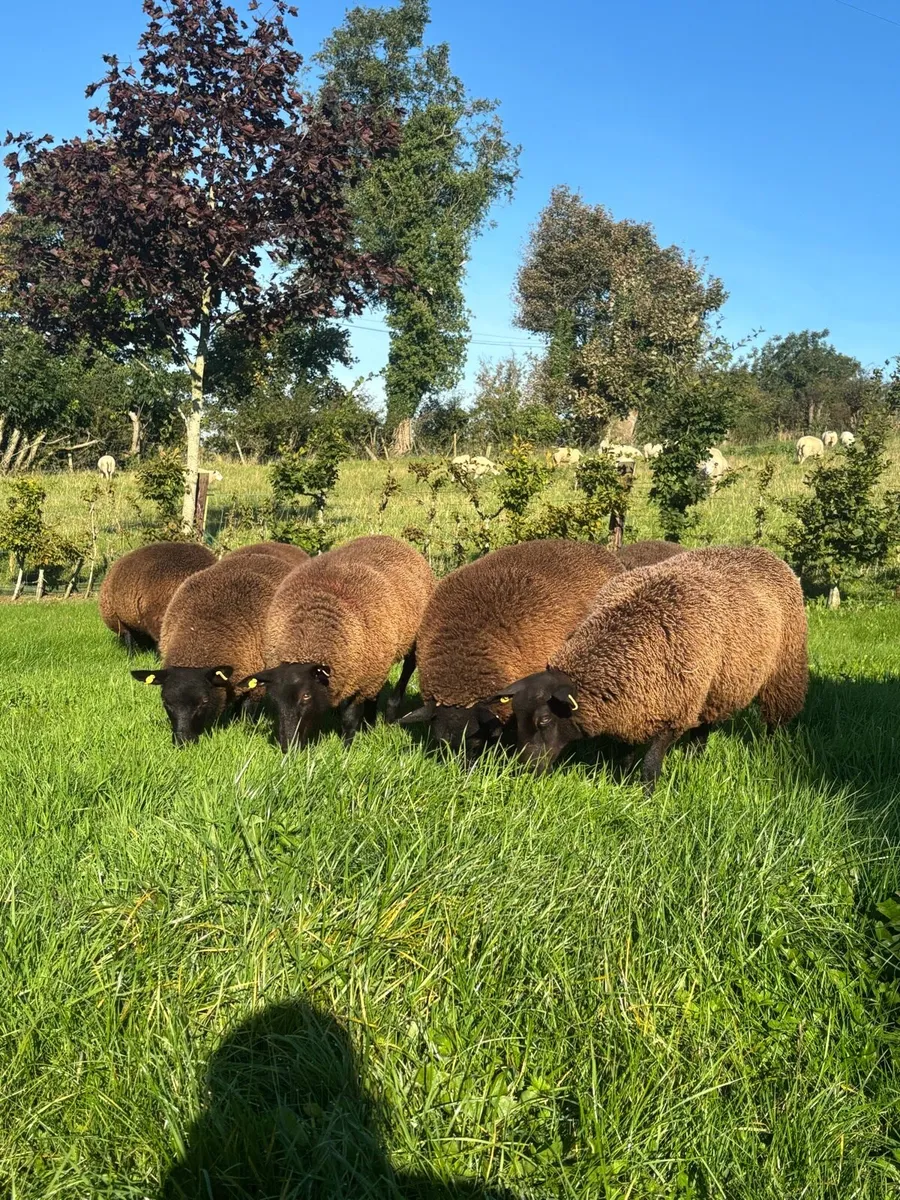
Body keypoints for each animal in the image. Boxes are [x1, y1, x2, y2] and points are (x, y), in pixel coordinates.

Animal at [131, 552, 294, 745]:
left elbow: (248, 711)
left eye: (204, 702)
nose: (183, 741)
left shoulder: (255, 683)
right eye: (166, 703)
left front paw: (245, 728)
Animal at [240, 536, 435, 750]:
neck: (308, 638)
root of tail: (388, 538)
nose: (288, 747)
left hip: (409, 641)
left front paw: (346, 748)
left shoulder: (358, 680)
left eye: (306, 696)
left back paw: (387, 716)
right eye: (275, 700)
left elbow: (349, 718)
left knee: (407, 669)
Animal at [493, 545, 807, 794]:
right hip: (716, 684)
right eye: (515, 718)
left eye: (544, 720)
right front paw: (621, 784)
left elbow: (650, 764)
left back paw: (770, 747)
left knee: (777, 715)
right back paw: (694, 756)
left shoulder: (674, 712)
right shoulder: (635, 707)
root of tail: (763, 551)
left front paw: (647, 798)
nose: (524, 771)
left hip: (786, 667)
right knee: (705, 723)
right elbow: (626, 755)